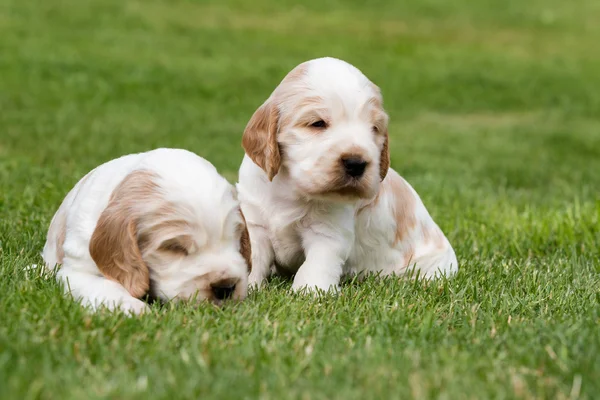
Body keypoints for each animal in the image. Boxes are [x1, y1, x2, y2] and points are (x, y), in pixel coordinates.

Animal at [43, 148, 251, 314]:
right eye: (175, 248)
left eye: (235, 238)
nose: (226, 287)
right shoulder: (75, 270)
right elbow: (103, 285)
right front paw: (132, 308)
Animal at [237, 57, 458, 292]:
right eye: (317, 123)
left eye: (374, 129)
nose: (356, 163)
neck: (291, 189)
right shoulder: (255, 224)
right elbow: (254, 259)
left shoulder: (327, 233)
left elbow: (314, 268)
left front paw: (310, 294)